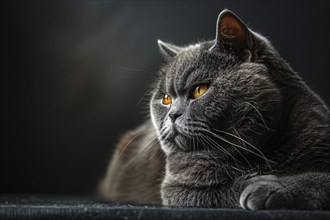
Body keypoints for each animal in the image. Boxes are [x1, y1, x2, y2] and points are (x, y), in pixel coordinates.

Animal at [99, 9, 330, 210]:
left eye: (199, 90)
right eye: (166, 99)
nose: (172, 114)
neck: (264, 148)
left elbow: (318, 178)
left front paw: (270, 187)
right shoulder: (180, 187)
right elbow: (224, 188)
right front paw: (259, 185)